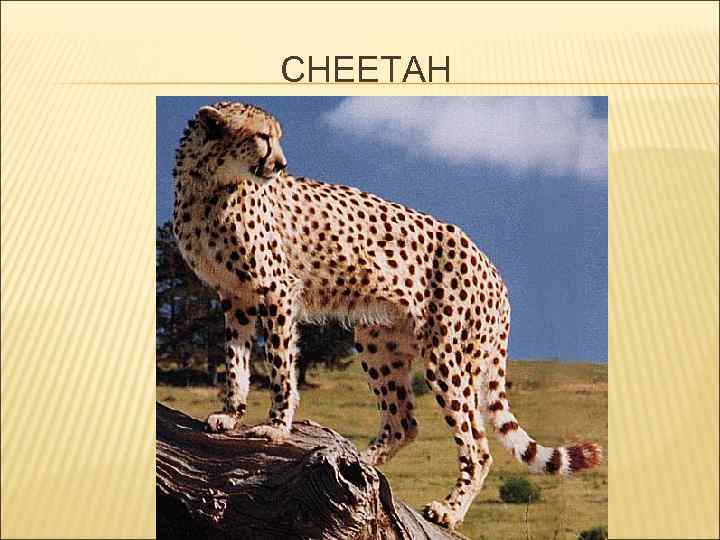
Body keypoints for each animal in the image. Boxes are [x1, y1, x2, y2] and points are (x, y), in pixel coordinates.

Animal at [171, 101, 602, 530]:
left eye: (277, 138)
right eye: (263, 137)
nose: (281, 164)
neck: (208, 184)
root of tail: (493, 270)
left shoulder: (277, 289)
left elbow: (279, 366)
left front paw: (275, 428)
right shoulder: (235, 296)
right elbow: (236, 360)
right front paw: (230, 414)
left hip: (447, 356)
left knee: (477, 448)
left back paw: (448, 511)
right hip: (378, 341)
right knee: (403, 423)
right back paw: (360, 464)